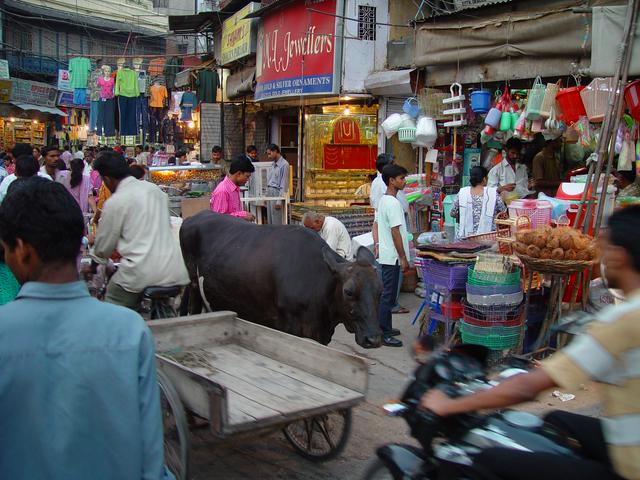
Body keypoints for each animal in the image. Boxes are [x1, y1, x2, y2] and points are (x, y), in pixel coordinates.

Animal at [178, 212, 382, 346]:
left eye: (380, 291)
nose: (373, 339)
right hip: (194, 283)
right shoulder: (289, 328)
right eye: (348, 291)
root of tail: (194, 216)